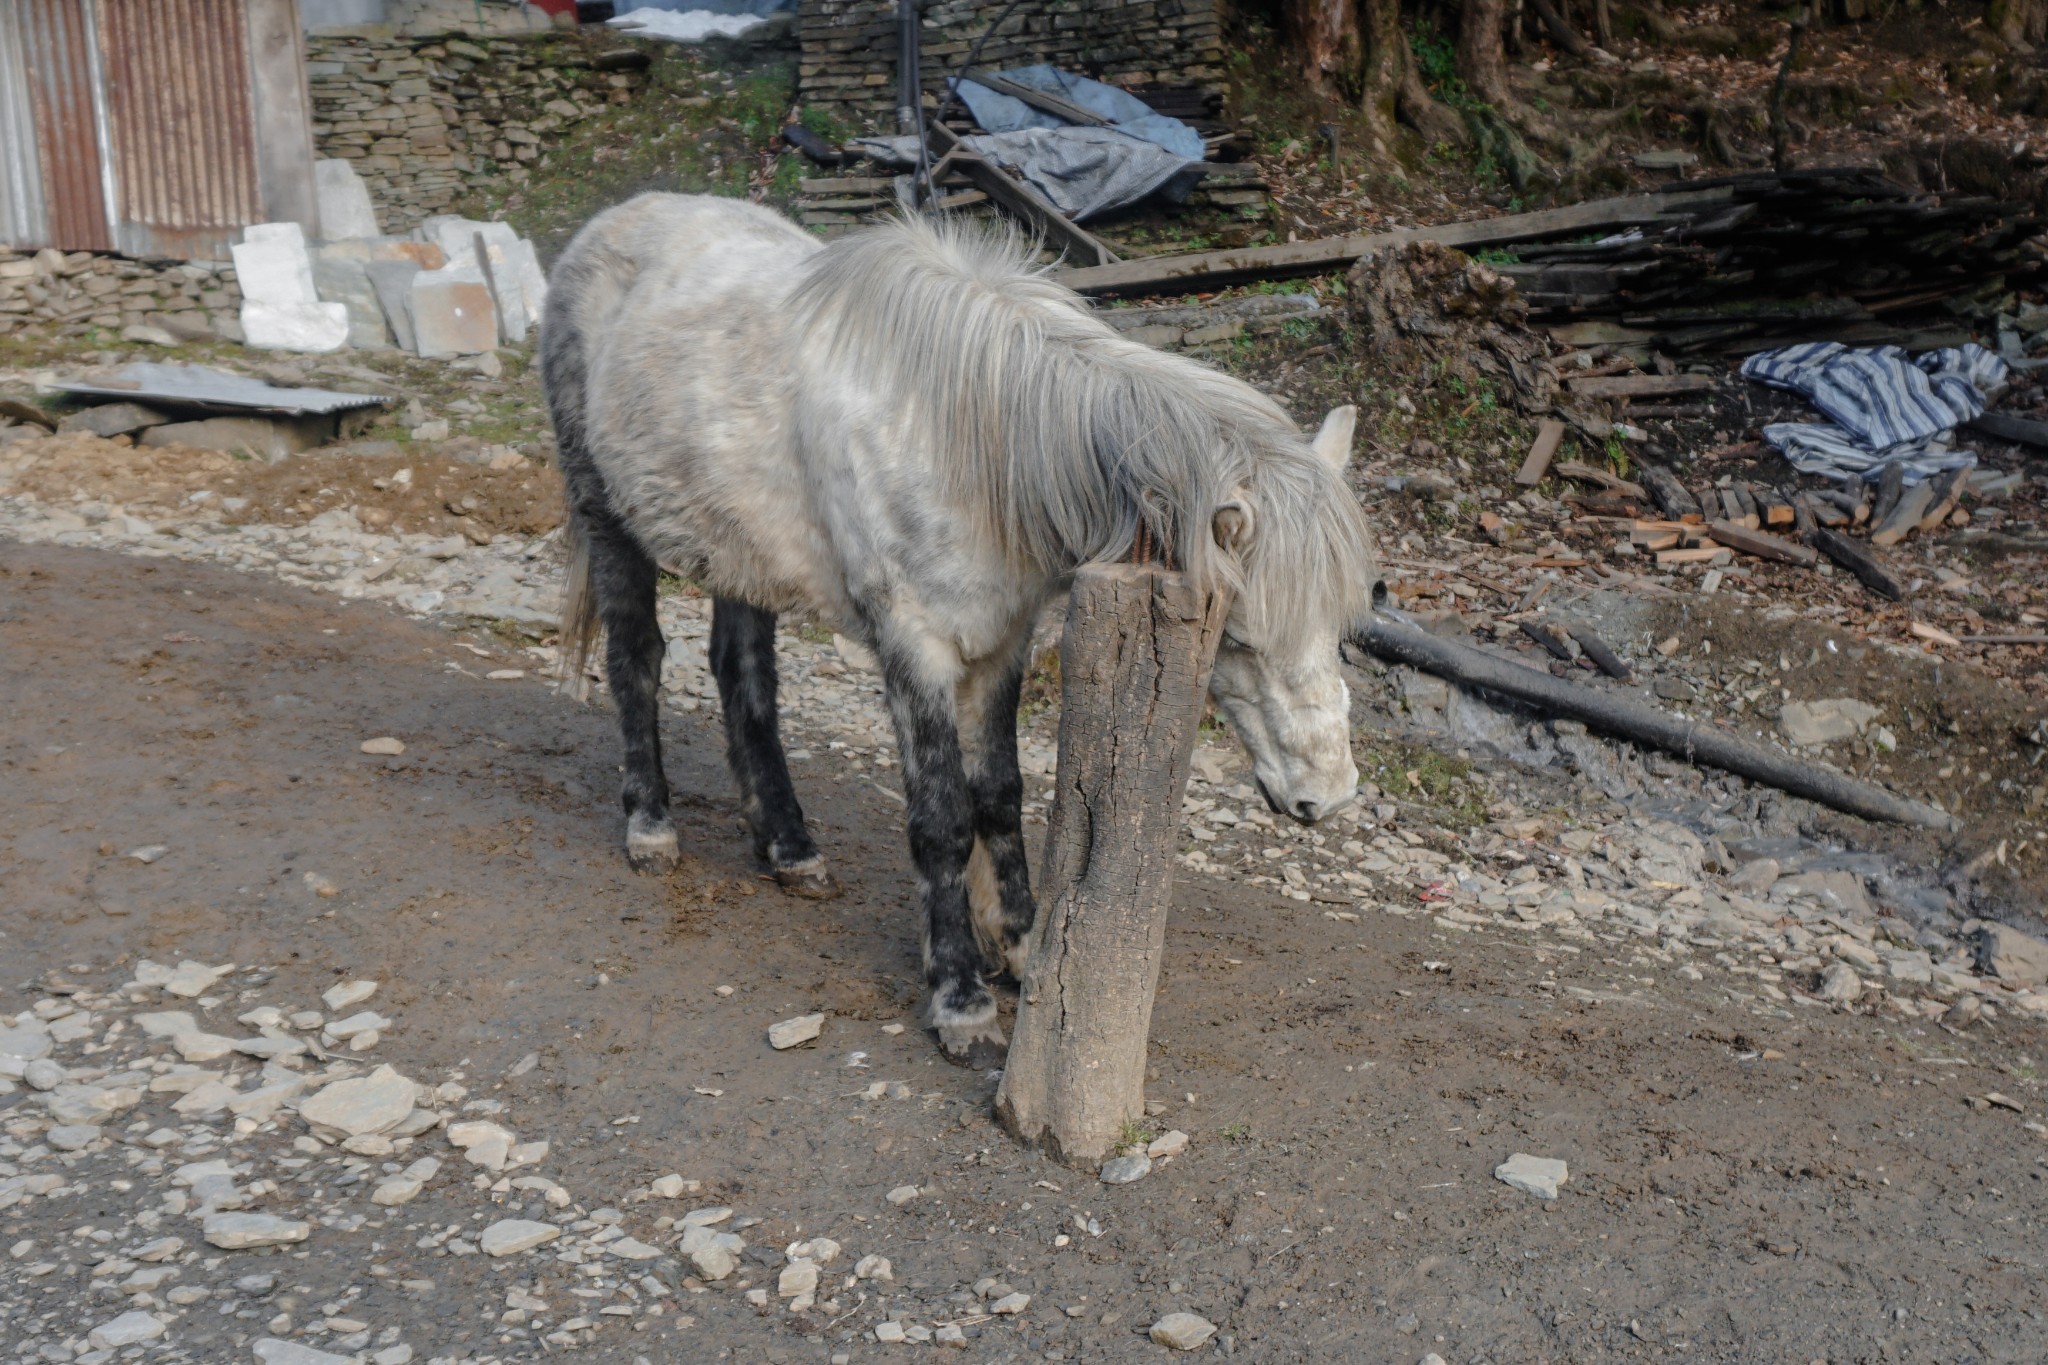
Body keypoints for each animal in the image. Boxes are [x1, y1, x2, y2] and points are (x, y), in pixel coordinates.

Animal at [536, 194, 1384, 1064]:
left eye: (1340, 628)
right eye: (1238, 640)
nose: (1327, 796)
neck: (967, 437)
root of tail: (609, 225)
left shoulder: (1001, 645)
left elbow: (1000, 796)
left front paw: (1020, 944)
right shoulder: (916, 648)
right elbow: (942, 817)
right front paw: (961, 998)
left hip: (739, 554)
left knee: (744, 678)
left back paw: (790, 847)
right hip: (607, 514)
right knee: (635, 660)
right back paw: (650, 827)